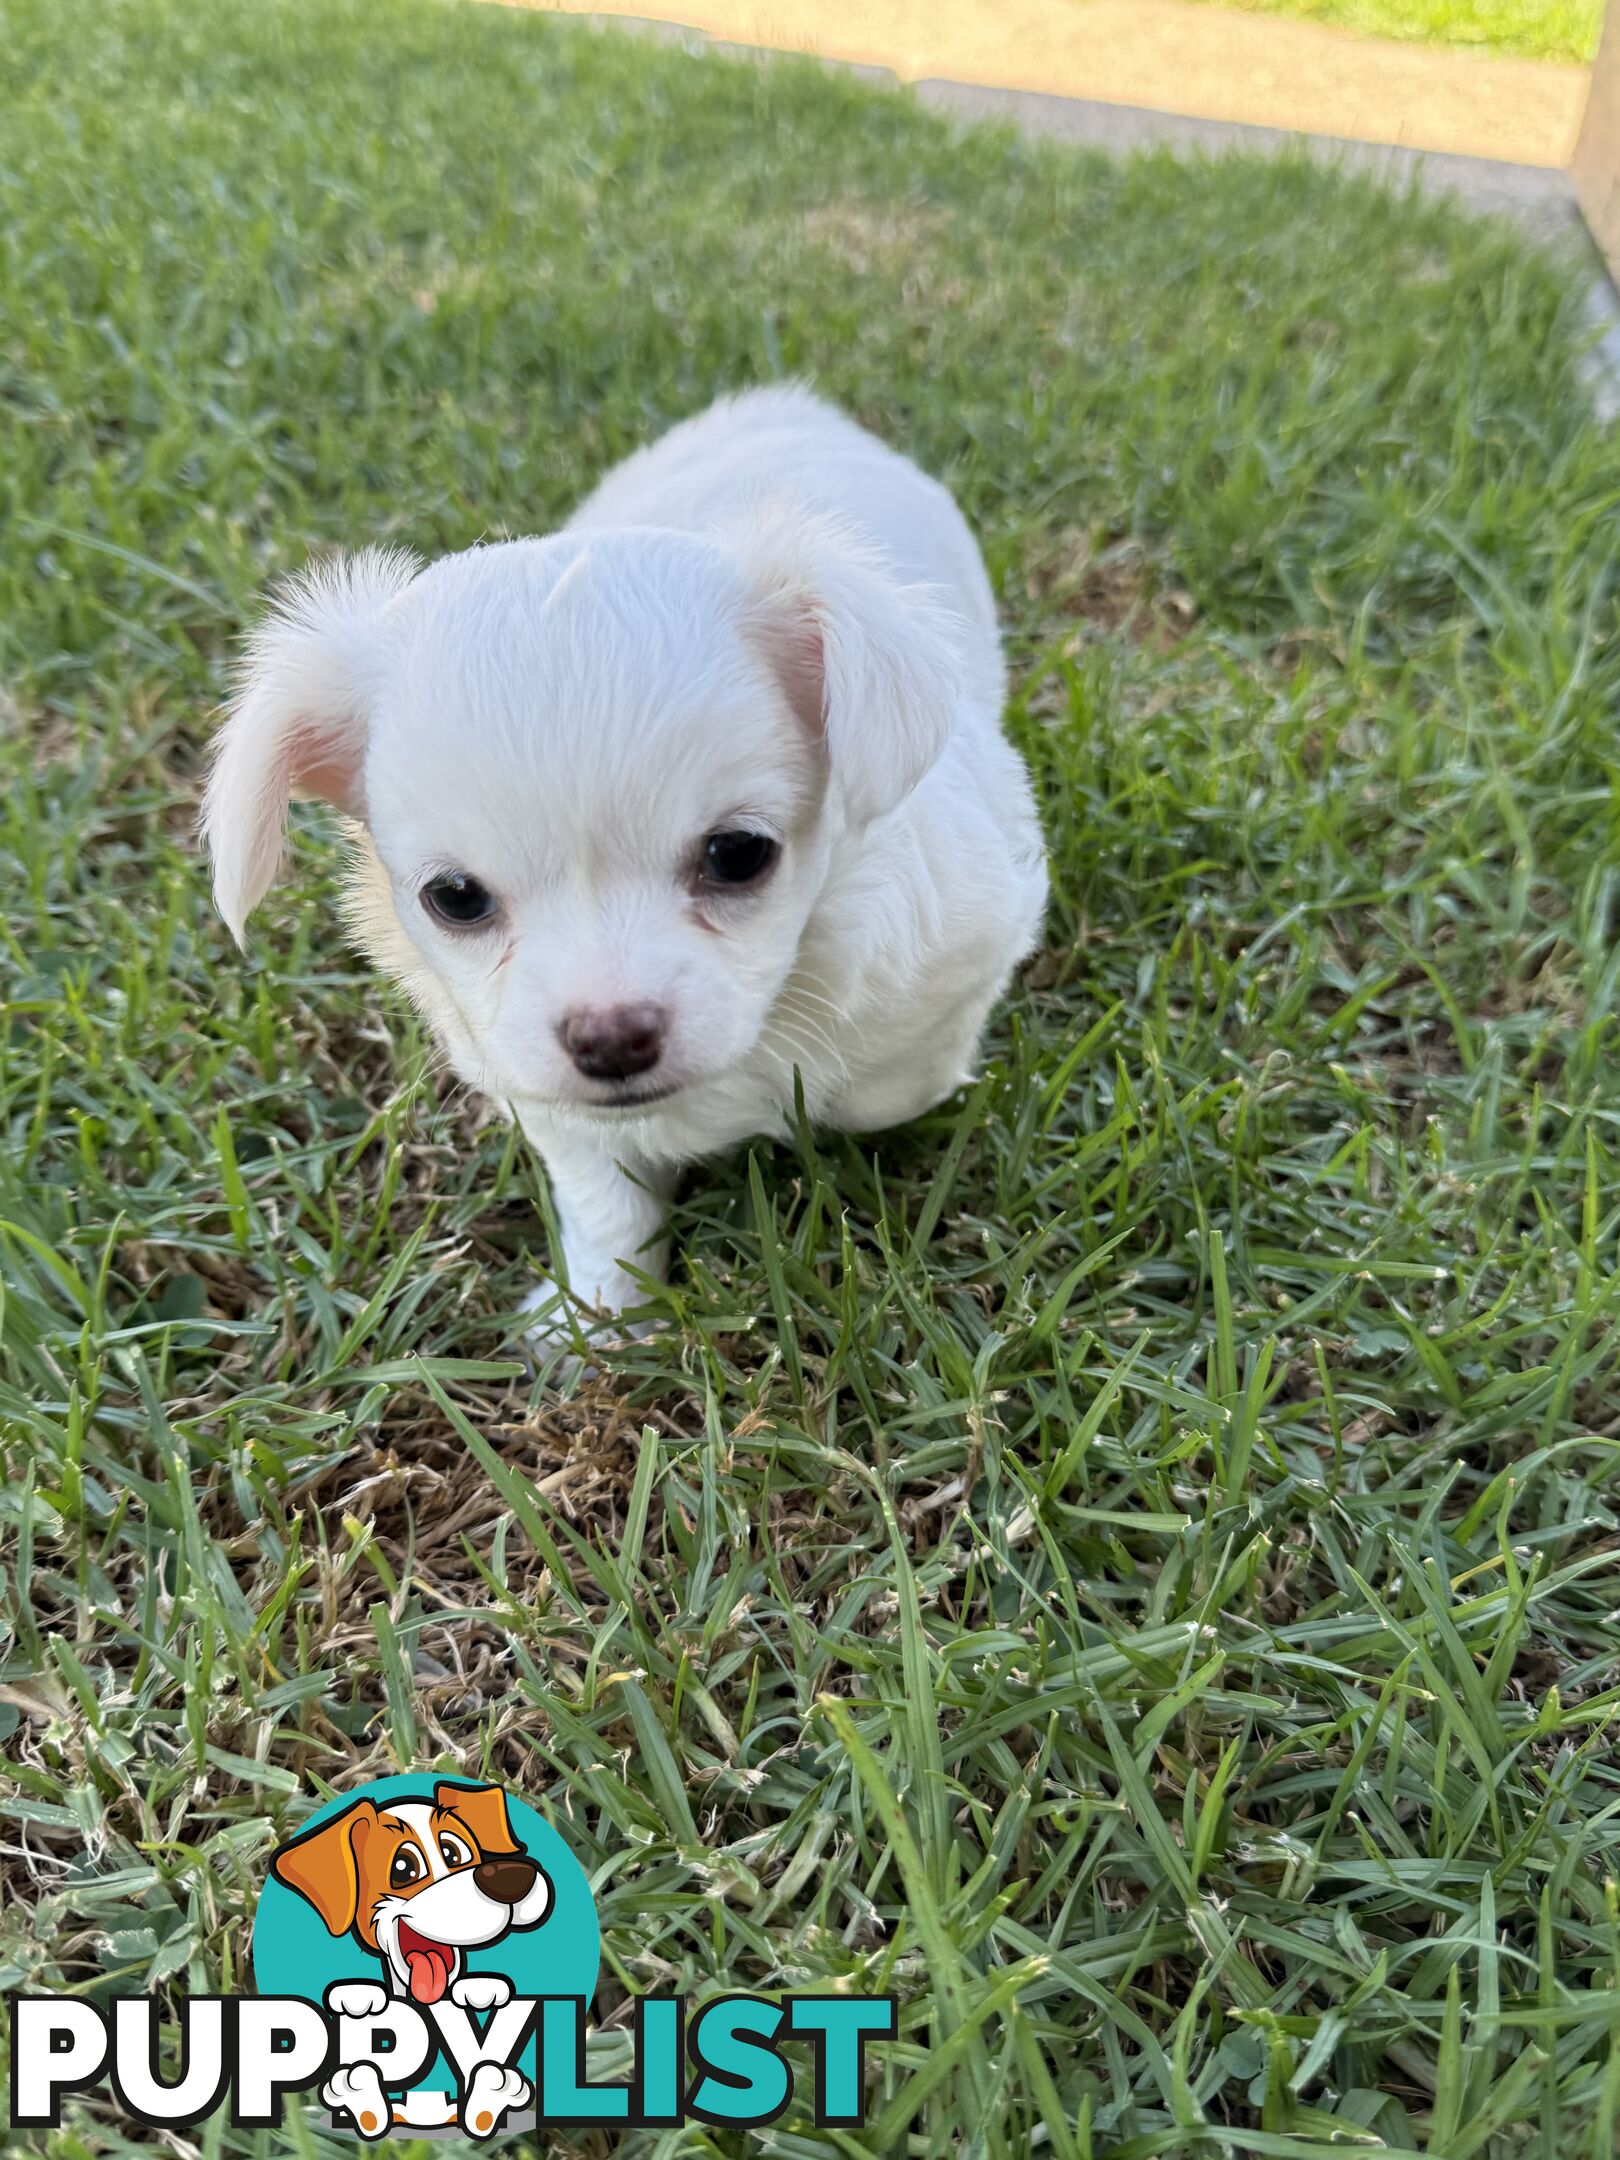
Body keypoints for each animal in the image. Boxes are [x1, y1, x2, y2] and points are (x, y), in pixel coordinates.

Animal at [206, 384, 1054, 1330]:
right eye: (455, 896)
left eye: (739, 854)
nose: (610, 1040)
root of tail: (788, 406)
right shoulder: (542, 1089)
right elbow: (608, 1199)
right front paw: (598, 1315)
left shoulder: (974, 937)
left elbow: (894, 1086)